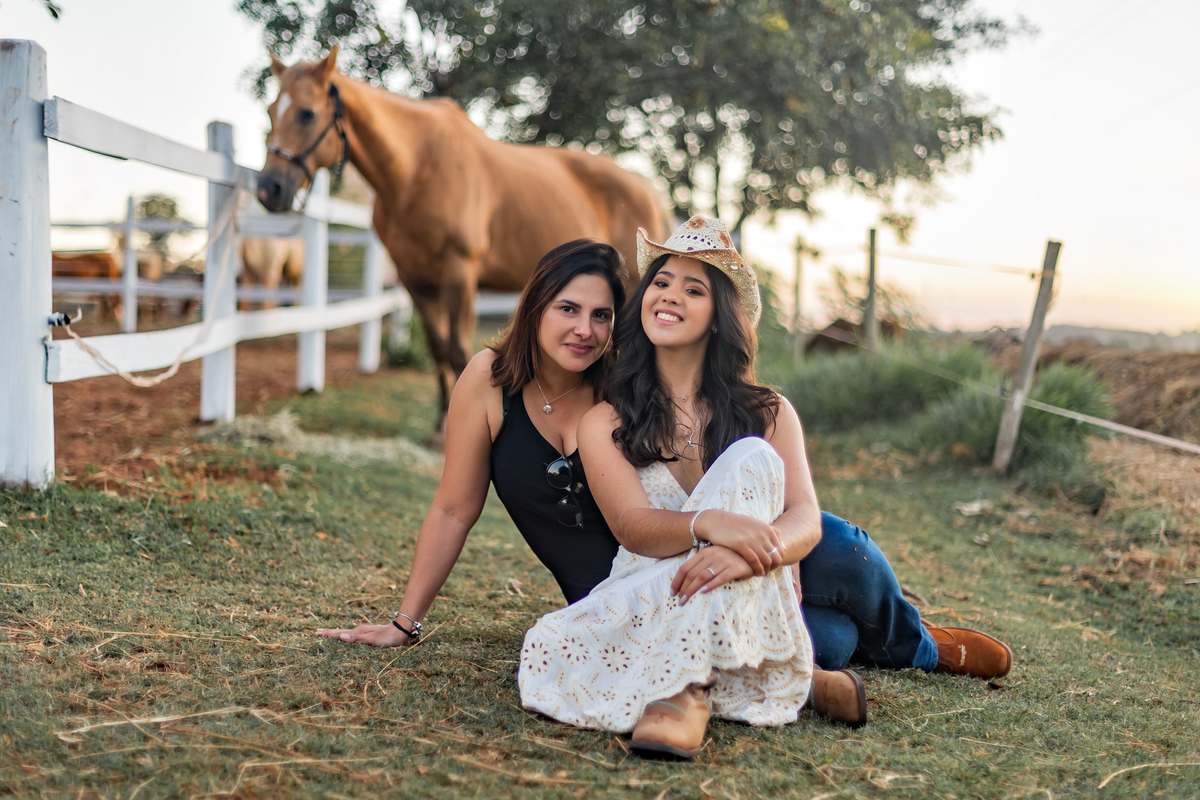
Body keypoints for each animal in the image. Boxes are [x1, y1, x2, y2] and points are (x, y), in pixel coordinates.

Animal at [255, 46, 669, 446]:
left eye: (307, 114)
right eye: (271, 111)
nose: (269, 189)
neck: (417, 171)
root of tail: (647, 188)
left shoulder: (459, 275)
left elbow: (457, 351)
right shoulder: (416, 281)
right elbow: (439, 349)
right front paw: (440, 427)